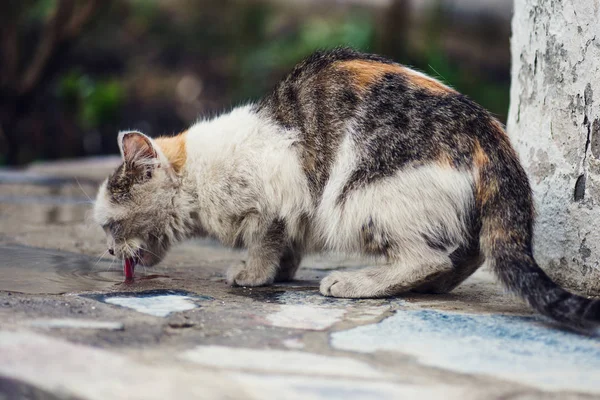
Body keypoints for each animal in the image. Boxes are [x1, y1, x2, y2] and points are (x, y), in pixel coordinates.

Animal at [94, 47, 600, 328]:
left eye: (108, 227)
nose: (109, 252)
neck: (198, 176)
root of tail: (492, 136)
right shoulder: (294, 210)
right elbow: (288, 244)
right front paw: (280, 272)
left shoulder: (279, 189)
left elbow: (266, 237)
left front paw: (254, 274)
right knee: (468, 252)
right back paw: (433, 286)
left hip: (360, 198)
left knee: (428, 256)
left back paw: (357, 283)